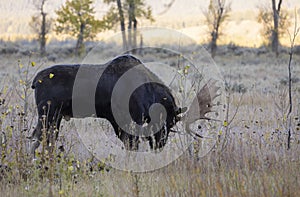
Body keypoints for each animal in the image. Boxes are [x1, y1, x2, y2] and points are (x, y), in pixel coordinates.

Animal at [28, 54, 220, 155]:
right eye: (168, 121)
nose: (160, 145)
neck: (149, 94)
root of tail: (35, 81)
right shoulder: (128, 118)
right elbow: (132, 145)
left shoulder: (117, 120)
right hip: (48, 112)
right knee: (39, 136)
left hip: (55, 115)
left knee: (43, 137)